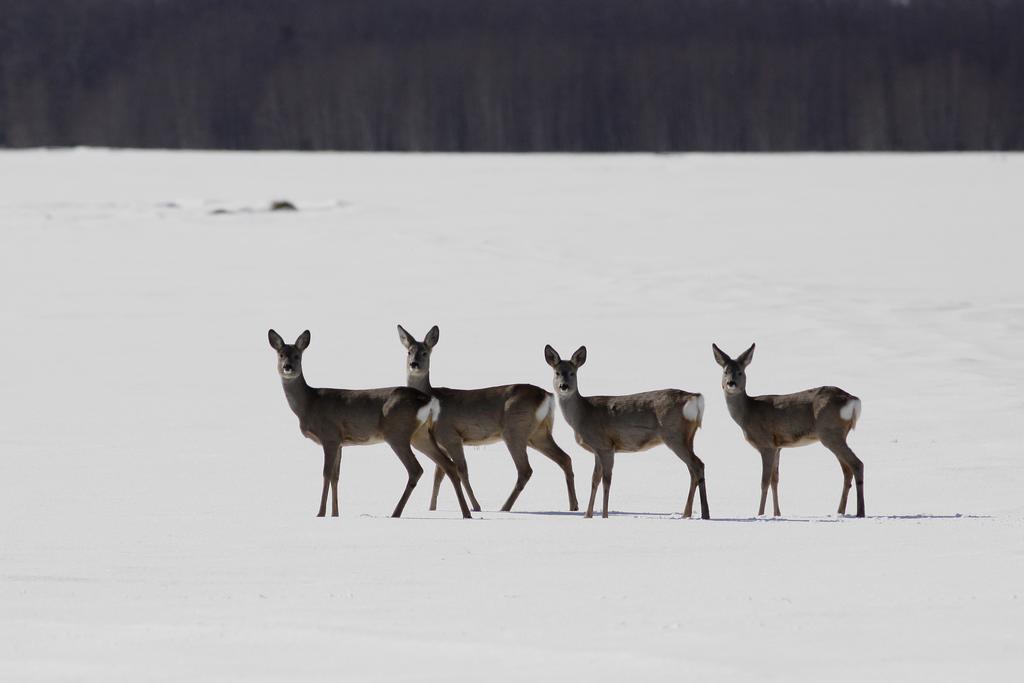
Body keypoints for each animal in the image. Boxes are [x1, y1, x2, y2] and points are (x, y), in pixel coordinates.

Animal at [266, 329, 468, 518]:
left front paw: (320, 513)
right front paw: (335, 514)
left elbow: (326, 474)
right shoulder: (341, 442)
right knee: (449, 465)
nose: (287, 367)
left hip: (397, 433)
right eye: (281, 354)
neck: (309, 403)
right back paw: (467, 513)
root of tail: (426, 398)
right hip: (421, 434)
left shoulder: (329, 436)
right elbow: (336, 477)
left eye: (297, 355)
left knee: (416, 469)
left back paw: (395, 513)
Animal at [397, 325, 581, 511]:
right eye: (409, 352)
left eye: (425, 352)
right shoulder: (440, 442)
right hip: (538, 433)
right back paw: (573, 506)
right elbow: (439, 474)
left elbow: (461, 470)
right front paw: (432, 508)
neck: (433, 399)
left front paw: (476, 506)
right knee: (565, 458)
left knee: (525, 470)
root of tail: (547, 396)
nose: (414, 364)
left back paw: (504, 508)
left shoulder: (451, 435)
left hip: (515, 429)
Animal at [544, 344, 704, 520]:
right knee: (693, 469)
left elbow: (607, 480)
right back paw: (689, 514)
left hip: (674, 435)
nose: (563, 386)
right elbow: (594, 480)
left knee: (697, 465)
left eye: (573, 373)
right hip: (688, 437)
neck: (583, 415)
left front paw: (604, 516)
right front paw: (587, 515)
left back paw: (700, 514)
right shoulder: (598, 449)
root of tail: (694, 397)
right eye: (557, 372)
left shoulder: (605, 445)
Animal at [712, 344, 864, 516]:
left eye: (740, 372)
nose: (731, 383)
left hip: (830, 433)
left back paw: (860, 512)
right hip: (837, 435)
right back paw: (840, 512)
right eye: (725, 371)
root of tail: (853, 400)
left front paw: (760, 514)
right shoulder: (778, 446)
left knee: (857, 464)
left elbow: (764, 482)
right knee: (847, 470)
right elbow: (775, 480)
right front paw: (777, 514)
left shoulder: (766, 444)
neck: (748, 413)